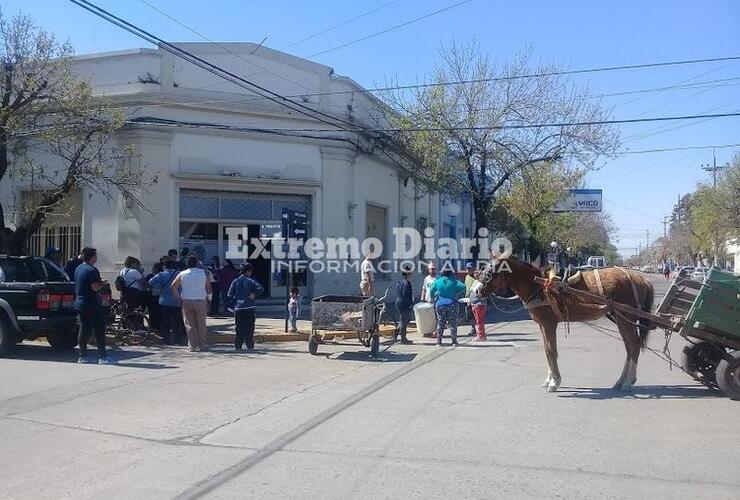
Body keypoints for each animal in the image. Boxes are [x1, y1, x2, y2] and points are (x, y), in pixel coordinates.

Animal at [480, 256, 652, 392]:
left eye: (491, 272)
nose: (477, 290)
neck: (539, 286)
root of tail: (641, 279)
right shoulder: (542, 325)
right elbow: (547, 351)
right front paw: (549, 379)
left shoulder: (549, 324)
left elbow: (551, 352)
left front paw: (554, 382)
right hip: (621, 318)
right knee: (631, 347)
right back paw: (622, 381)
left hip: (625, 318)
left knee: (633, 346)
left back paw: (628, 382)